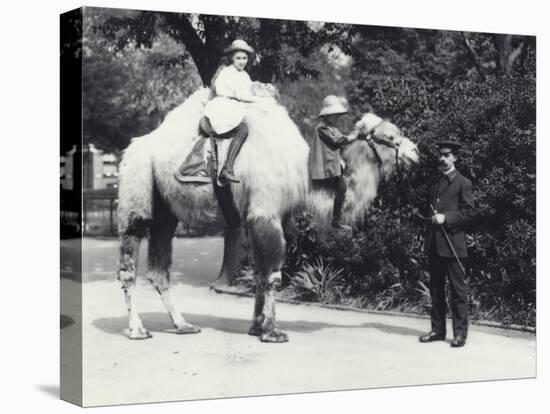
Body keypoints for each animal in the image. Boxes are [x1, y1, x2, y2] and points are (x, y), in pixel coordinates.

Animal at [115, 84, 418, 342]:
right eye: (389, 137)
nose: (416, 152)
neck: (302, 175)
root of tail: (132, 148)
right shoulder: (265, 214)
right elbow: (272, 276)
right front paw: (273, 332)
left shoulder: (270, 219)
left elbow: (260, 274)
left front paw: (256, 327)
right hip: (136, 188)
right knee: (129, 262)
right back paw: (137, 330)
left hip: (166, 210)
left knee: (159, 269)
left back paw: (183, 325)